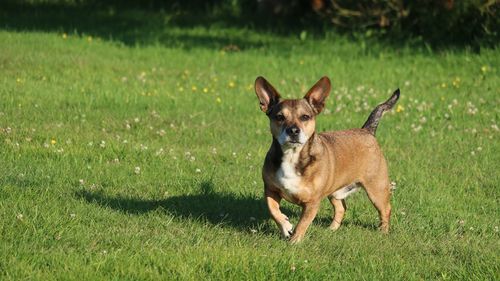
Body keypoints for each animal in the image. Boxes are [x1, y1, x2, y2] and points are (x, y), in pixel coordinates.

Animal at [254, 75, 398, 242]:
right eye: (279, 117)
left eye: (305, 117)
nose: (293, 131)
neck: (292, 155)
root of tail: (367, 130)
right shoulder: (270, 190)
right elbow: (274, 211)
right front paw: (286, 227)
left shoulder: (312, 203)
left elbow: (302, 223)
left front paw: (294, 241)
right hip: (335, 192)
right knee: (341, 208)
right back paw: (332, 229)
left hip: (376, 189)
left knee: (385, 209)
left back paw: (383, 232)